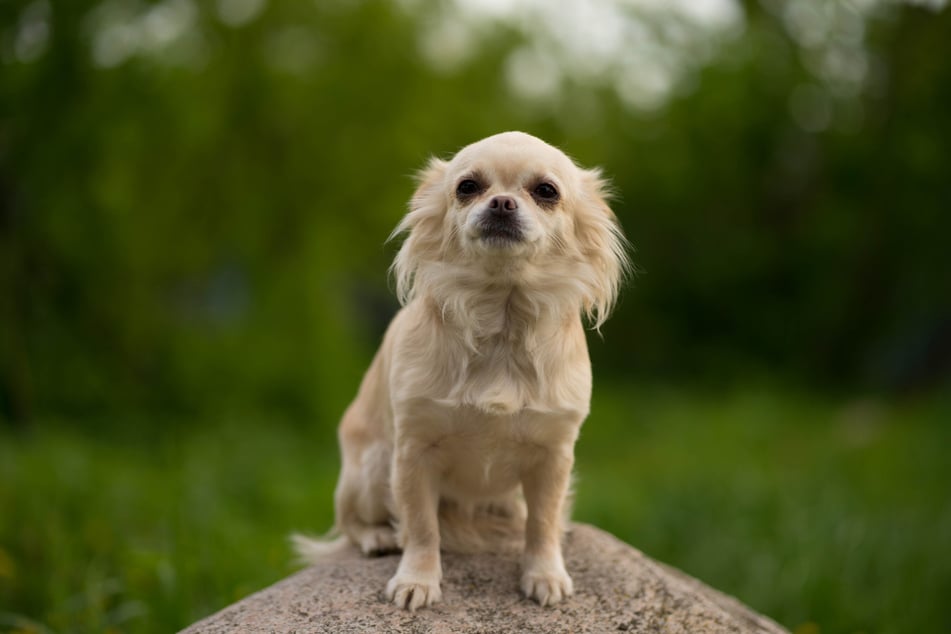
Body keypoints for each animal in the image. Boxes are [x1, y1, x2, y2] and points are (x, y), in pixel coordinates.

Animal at [294, 131, 628, 608]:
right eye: (467, 187)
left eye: (546, 191)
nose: (502, 202)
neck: (503, 322)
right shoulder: (413, 453)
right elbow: (421, 526)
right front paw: (417, 580)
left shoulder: (553, 457)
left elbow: (542, 523)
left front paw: (545, 574)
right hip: (372, 466)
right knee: (351, 523)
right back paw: (377, 537)